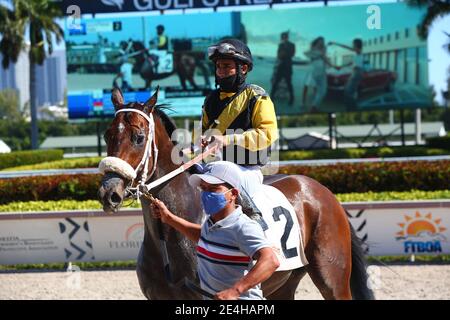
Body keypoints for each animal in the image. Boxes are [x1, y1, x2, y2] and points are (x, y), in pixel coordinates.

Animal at [97, 87, 372, 300]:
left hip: (333, 278)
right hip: (284, 283)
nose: (109, 192)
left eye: (139, 137)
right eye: (108, 135)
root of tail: (322, 191)